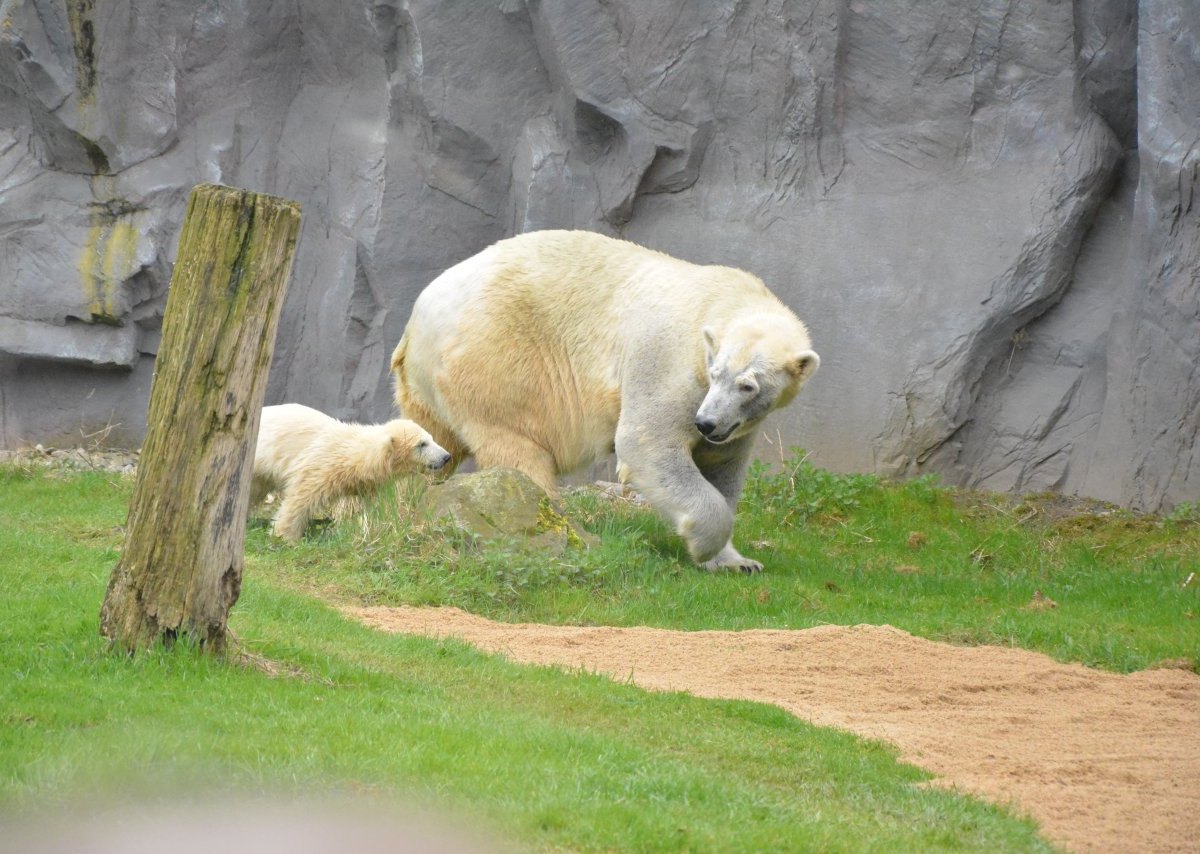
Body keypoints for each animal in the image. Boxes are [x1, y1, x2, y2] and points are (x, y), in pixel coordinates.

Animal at [391, 230, 816, 570]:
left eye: (749, 386)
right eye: (716, 374)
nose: (706, 424)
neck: (723, 299)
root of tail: (418, 316)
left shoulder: (736, 421)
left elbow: (722, 467)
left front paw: (737, 562)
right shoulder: (669, 360)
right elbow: (647, 441)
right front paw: (704, 545)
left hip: (427, 387)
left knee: (431, 439)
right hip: (495, 357)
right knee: (517, 444)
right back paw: (557, 526)